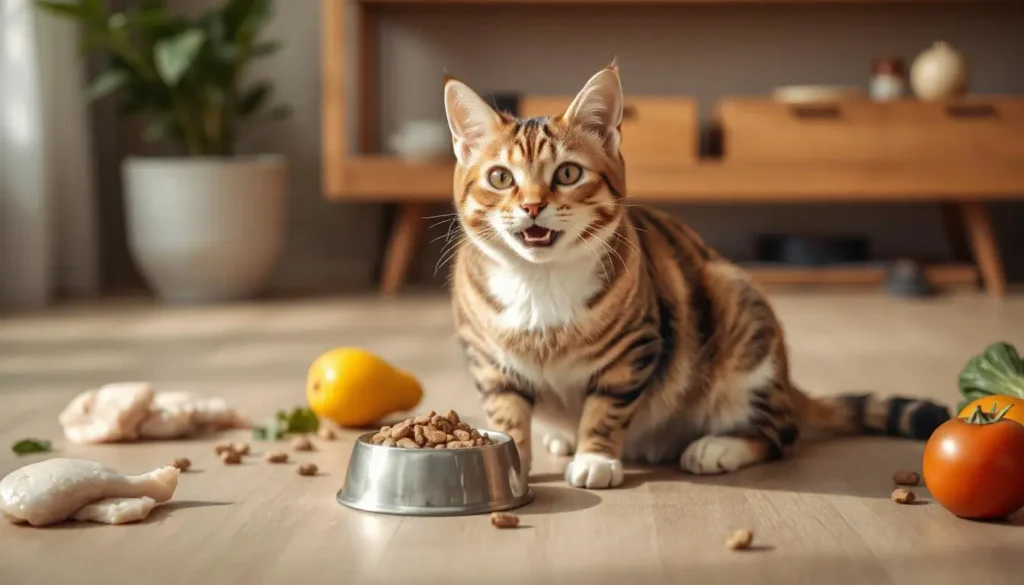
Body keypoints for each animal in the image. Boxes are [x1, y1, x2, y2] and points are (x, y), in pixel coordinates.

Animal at [444, 63, 946, 489]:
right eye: (501, 178)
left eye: (567, 173)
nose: (532, 206)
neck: (539, 282)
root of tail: (788, 384)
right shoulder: (486, 357)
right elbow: (506, 410)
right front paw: (514, 454)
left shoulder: (634, 347)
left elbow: (606, 407)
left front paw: (595, 458)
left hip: (741, 318)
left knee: (782, 432)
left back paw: (716, 448)